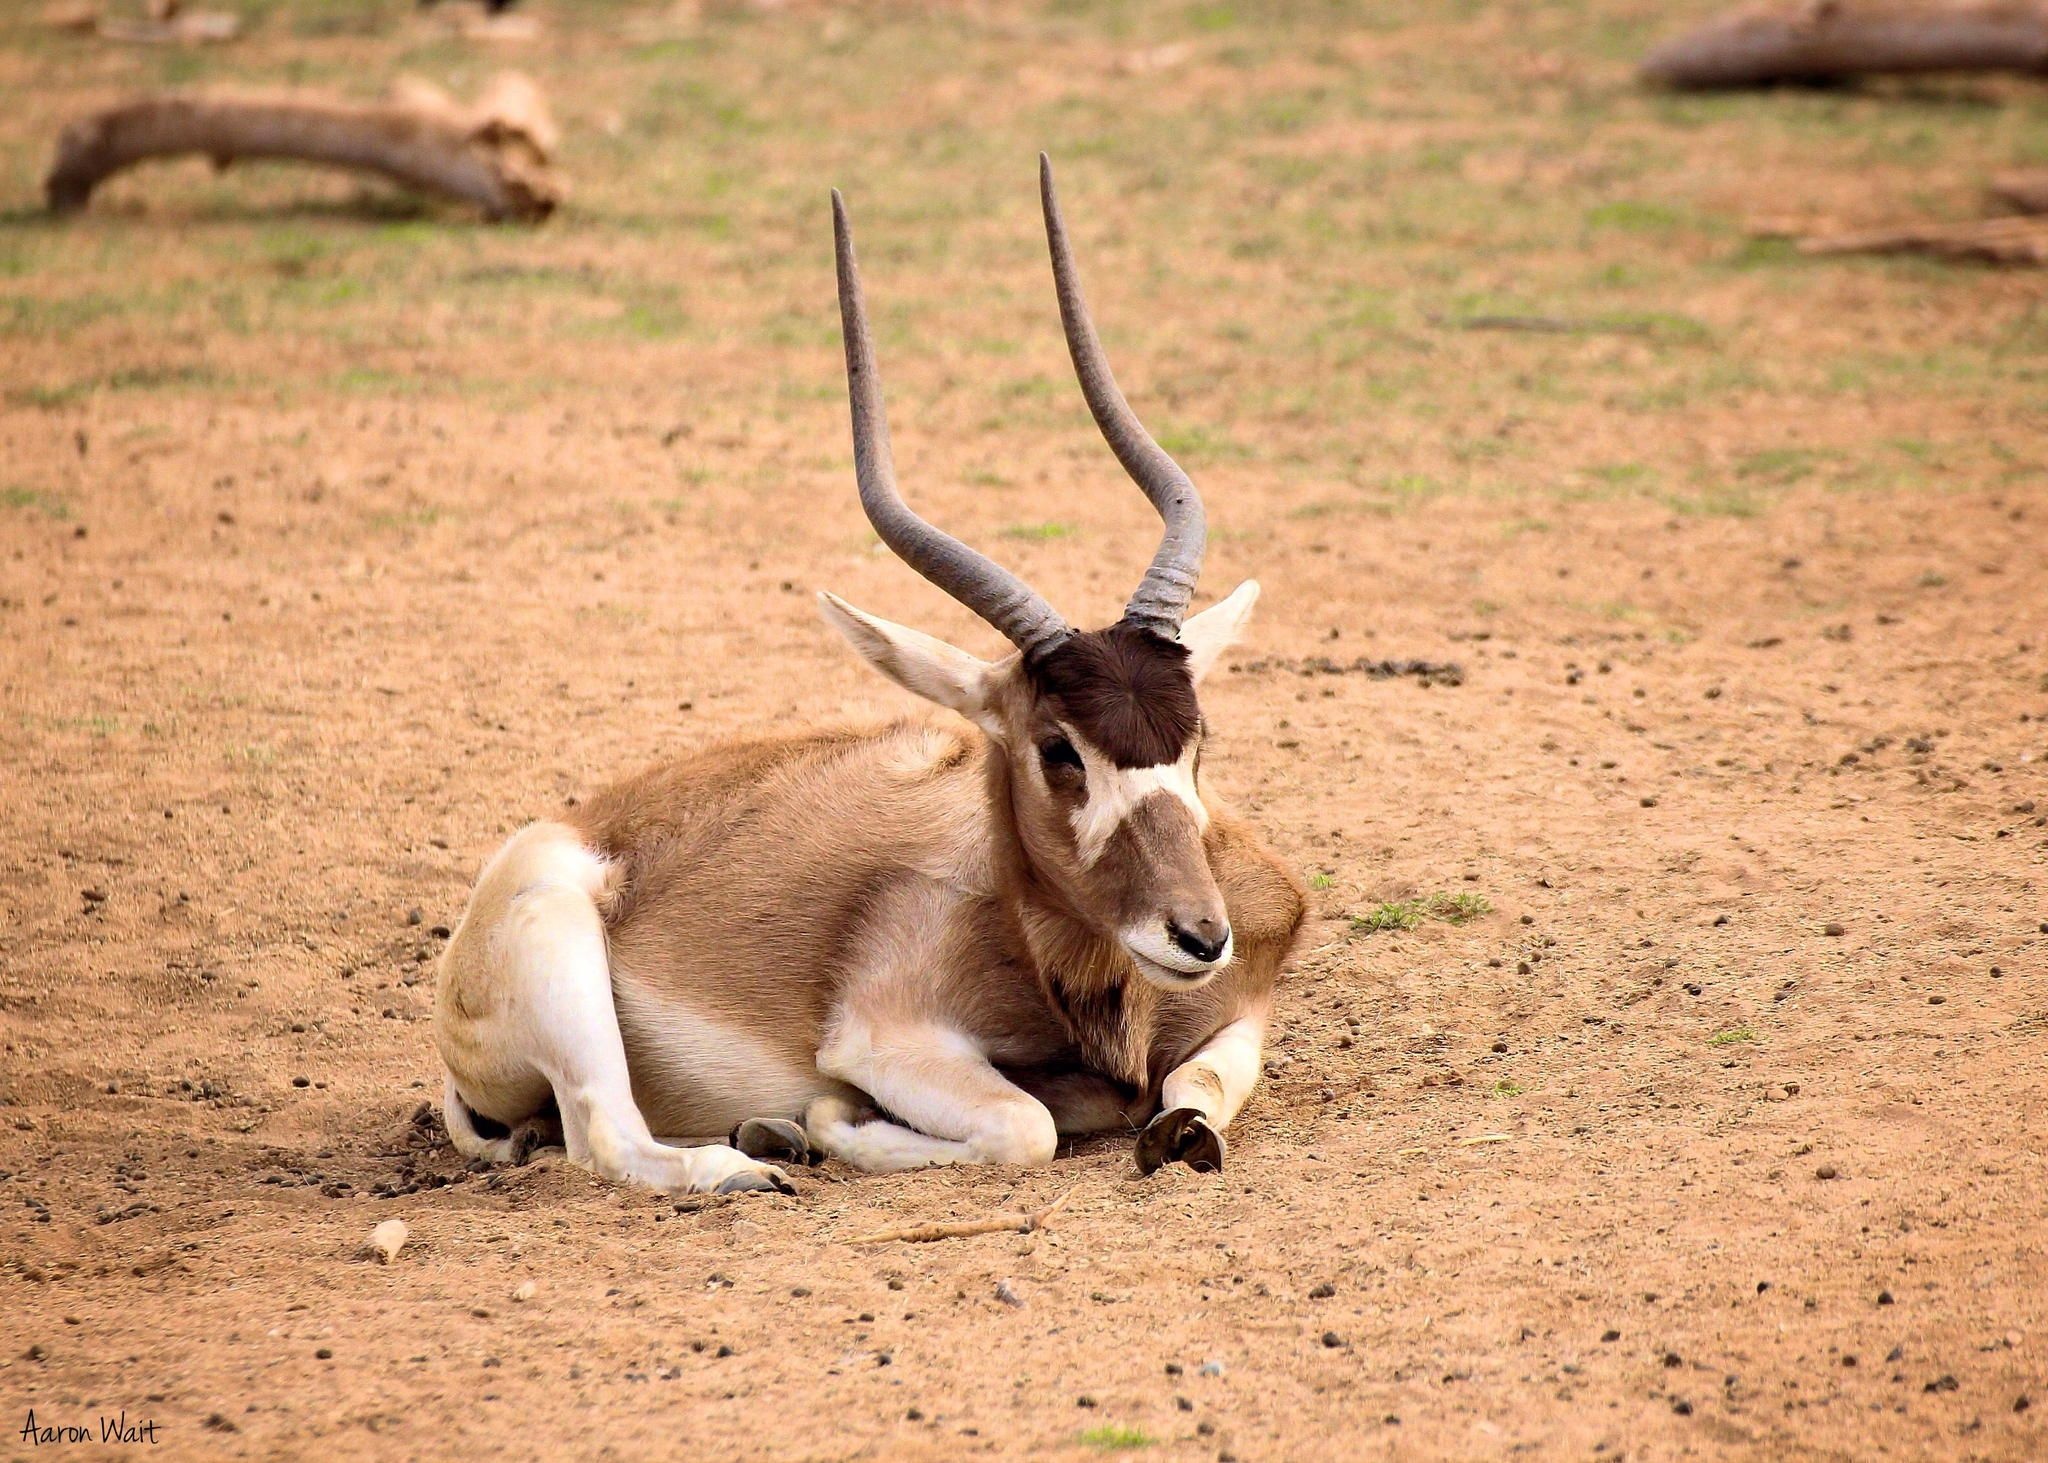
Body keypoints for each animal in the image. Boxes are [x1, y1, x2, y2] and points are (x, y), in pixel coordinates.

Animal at [432, 156, 1302, 1188]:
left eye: (1196, 740)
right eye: (1059, 749)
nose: (1199, 933)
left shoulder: (1240, 1012)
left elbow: (1198, 1092)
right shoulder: (884, 1036)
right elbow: (1022, 1124)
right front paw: (835, 1119)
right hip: (561, 944)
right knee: (604, 1132)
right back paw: (759, 1157)